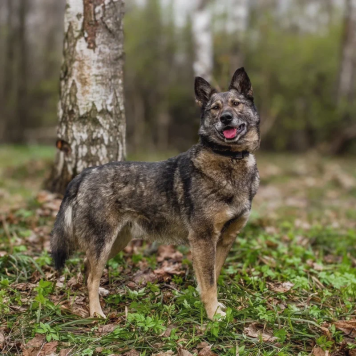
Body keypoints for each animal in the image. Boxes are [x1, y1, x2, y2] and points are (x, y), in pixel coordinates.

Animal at [50, 67, 260, 320]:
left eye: (236, 103)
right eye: (215, 108)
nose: (226, 118)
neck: (229, 159)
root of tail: (83, 174)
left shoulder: (224, 239)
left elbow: (212, 277)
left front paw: (212, 306)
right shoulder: (203, 238)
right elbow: (209, 283)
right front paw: (213, 315)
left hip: (117, 242)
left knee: (87, 269)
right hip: (103, 242)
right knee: (91, 276)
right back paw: (96, 312)